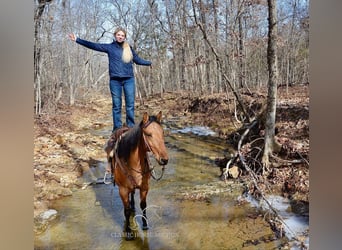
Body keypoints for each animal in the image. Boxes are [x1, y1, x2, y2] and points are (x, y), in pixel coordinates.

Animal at [104, 111, 168, 240]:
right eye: (148, 134)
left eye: (162, 133)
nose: (164, 160)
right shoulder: (123, 190)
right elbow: (127, 210)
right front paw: (128, 232)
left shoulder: (144, 188)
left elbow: (143, 205)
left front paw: (145, 224)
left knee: (133, 195)